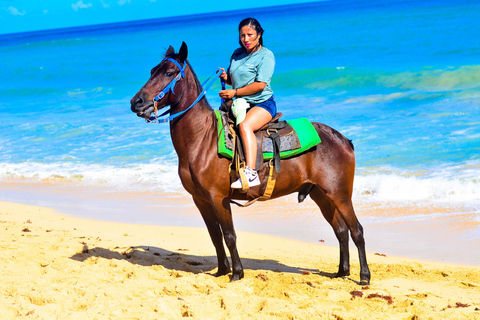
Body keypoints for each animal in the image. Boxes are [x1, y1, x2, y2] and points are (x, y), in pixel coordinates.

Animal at [130, 42, 372, 284]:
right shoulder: (201, 200)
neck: (202, 138)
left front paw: (237, 272)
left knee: (357, 230)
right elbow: (215, 236)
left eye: (170, 73)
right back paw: (342, 272)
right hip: (321, 194)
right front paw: (221, 270)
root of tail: (342, 139)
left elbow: (229, 235)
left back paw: (364, 276)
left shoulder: (218, 197)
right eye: (152, 71)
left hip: (339, 194)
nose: (136, 102)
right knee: (340, 230)